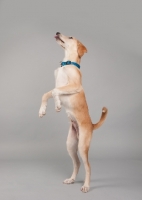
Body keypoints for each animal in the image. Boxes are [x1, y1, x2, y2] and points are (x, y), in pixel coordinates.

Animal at [38, 32, 107, 193]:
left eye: (70, 37)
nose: (57, 32)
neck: (66, 63)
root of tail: (91, 125)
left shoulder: (74, 85)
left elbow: (56, 91)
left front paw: (57, 105)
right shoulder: (57, 86)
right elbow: (47, 93)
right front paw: (42, 110)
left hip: (82, 146)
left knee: (88, 166)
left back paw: (86, 186)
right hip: (70, 145)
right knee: (77, 163)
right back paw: (71, 179)